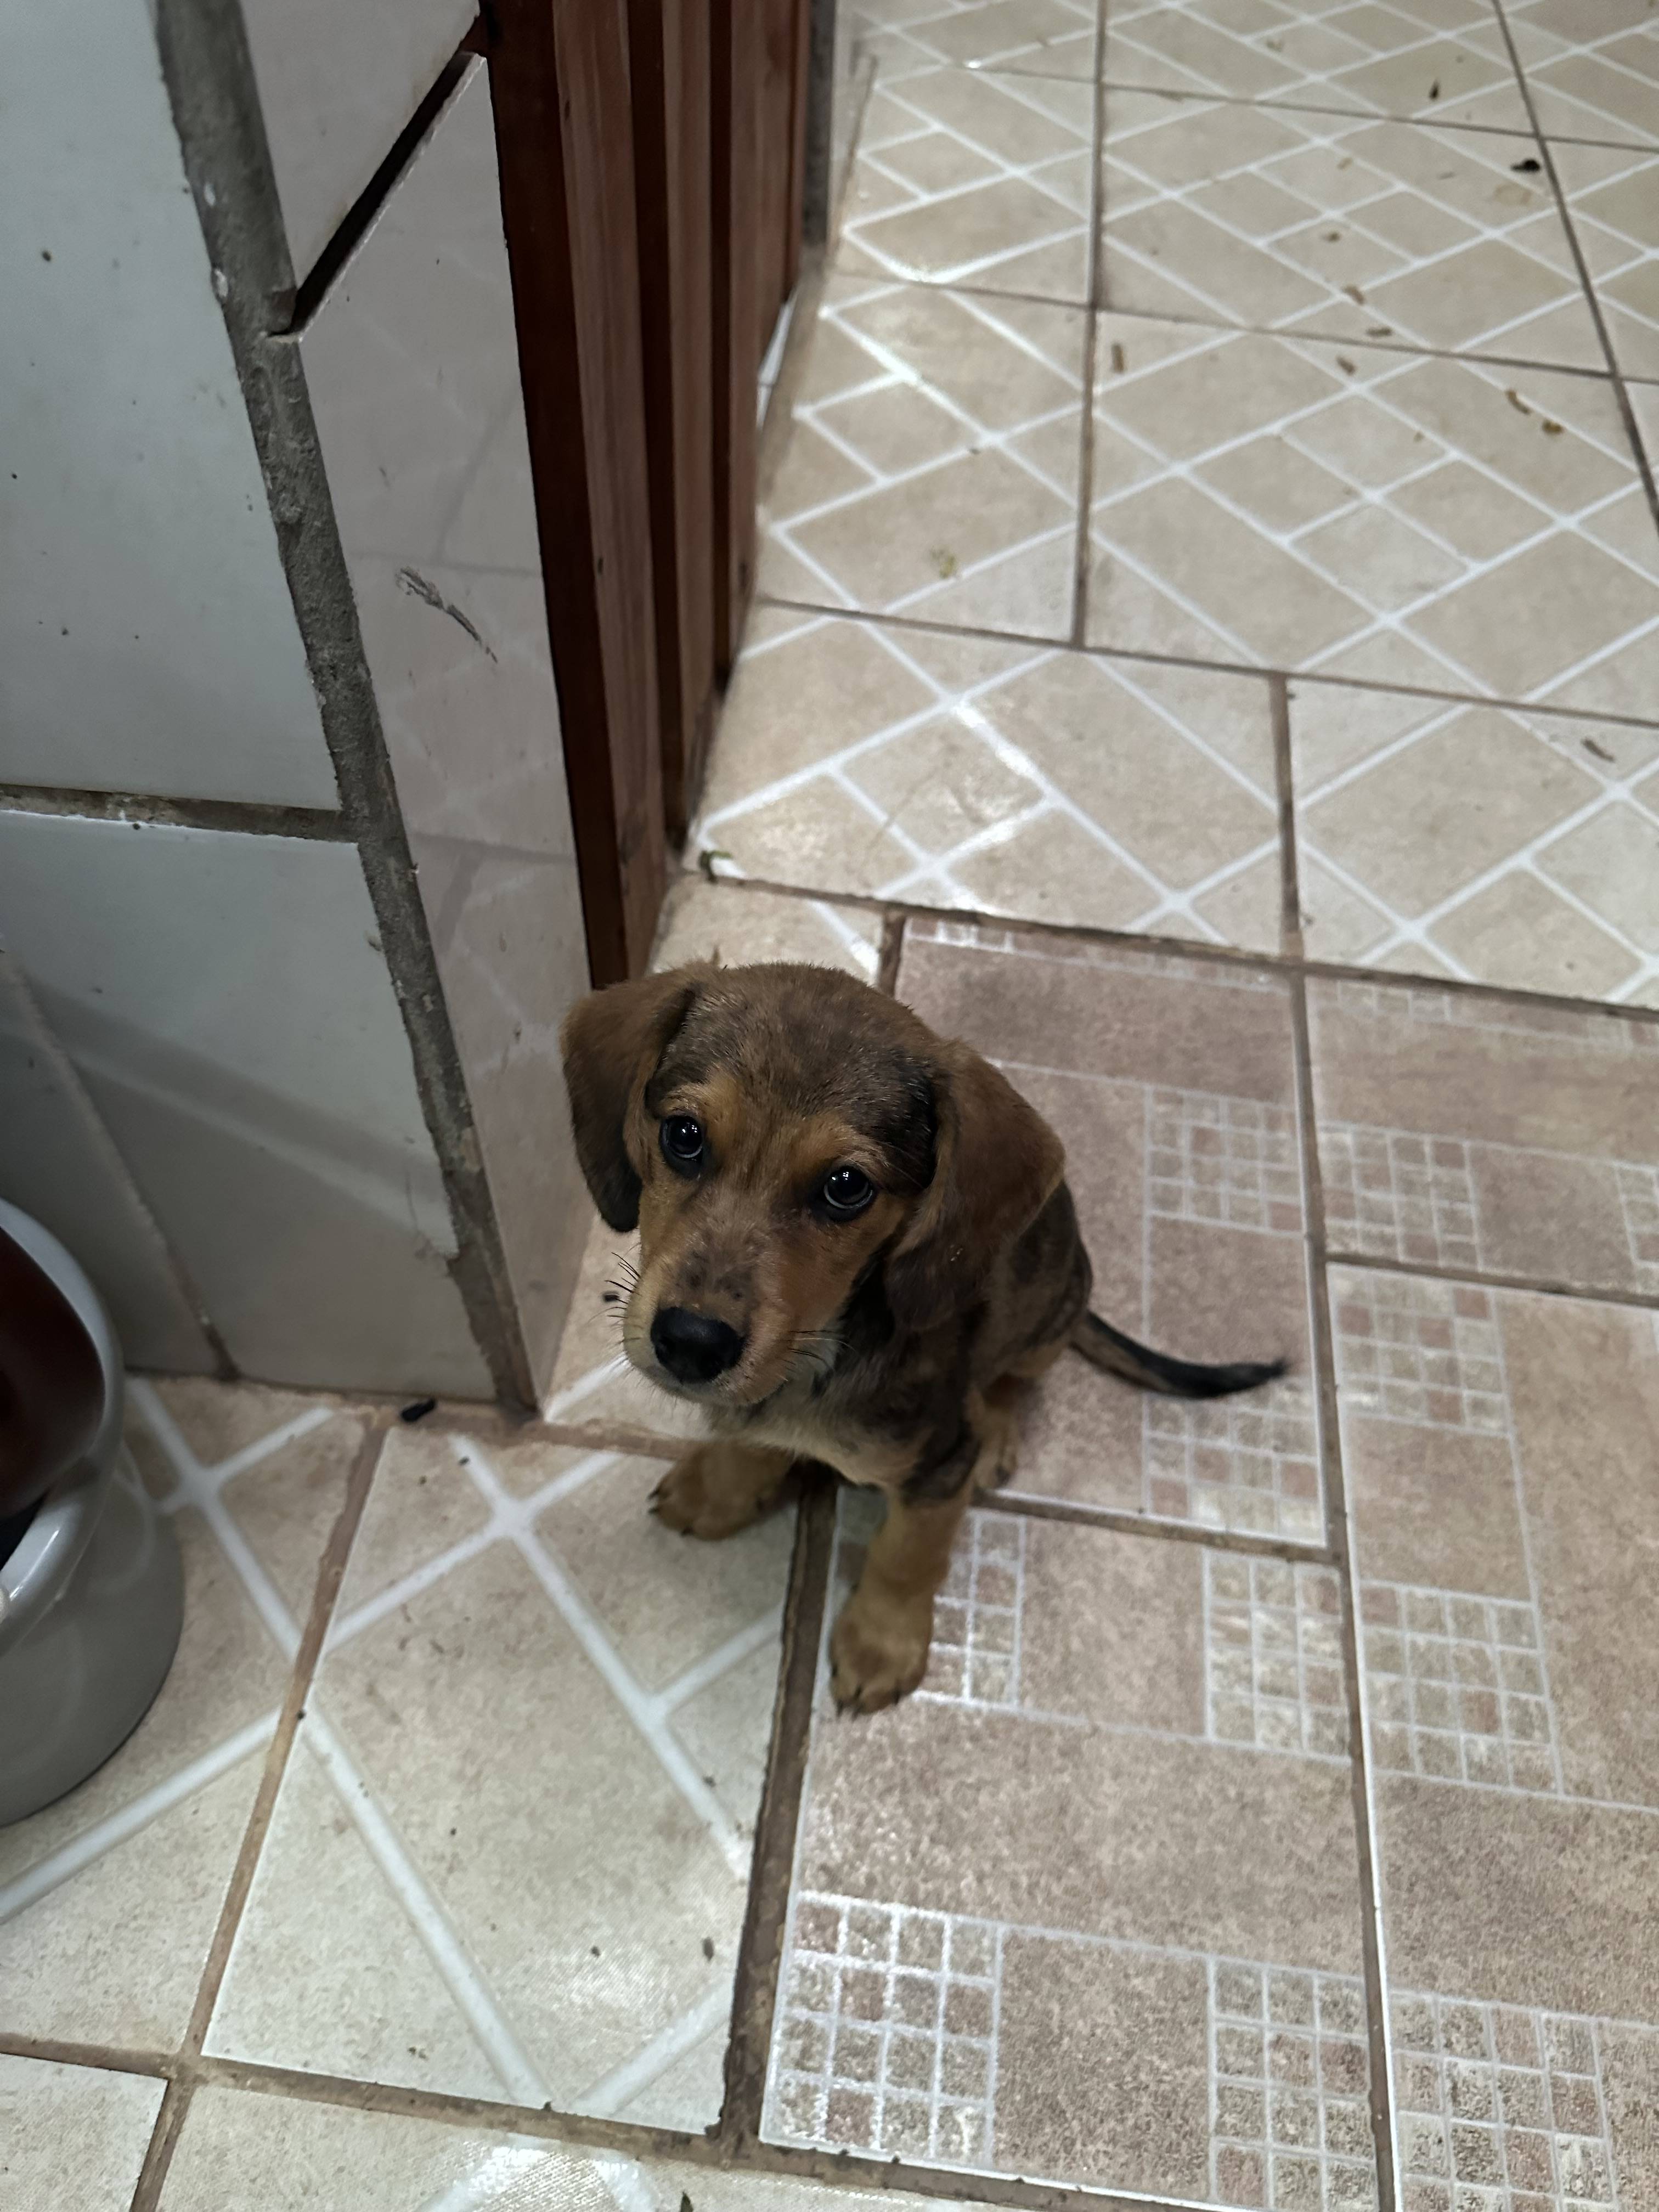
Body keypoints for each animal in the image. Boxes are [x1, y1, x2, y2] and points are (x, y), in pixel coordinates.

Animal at [561, 959, 1283, 1714]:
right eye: (683, 1135)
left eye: (846, 1186)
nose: (692, 1343)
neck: (819, 1353)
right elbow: (745, 1443)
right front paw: (720, 1488)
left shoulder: (938, 1466)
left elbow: (906, 1557)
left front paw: (882, 1644)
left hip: (1046, 1322)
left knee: (1011, 1384)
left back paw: (998, 1431)